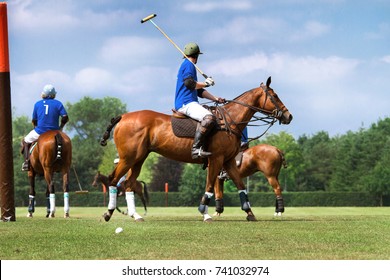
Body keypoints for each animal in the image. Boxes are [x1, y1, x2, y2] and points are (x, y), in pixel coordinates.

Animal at [100, 76, 292, 221]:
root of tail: (123, 116)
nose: (289, 116)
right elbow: (210, 186)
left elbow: (240, 185)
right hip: (128, 157)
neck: (230, 122)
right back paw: (108, 213)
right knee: (113, 180)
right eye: (275, 96)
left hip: (139, 158)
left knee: (129, 184)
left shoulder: (228, 161)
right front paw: (204, 212)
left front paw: (249, 213)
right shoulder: (216, 159)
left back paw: (135, 215)